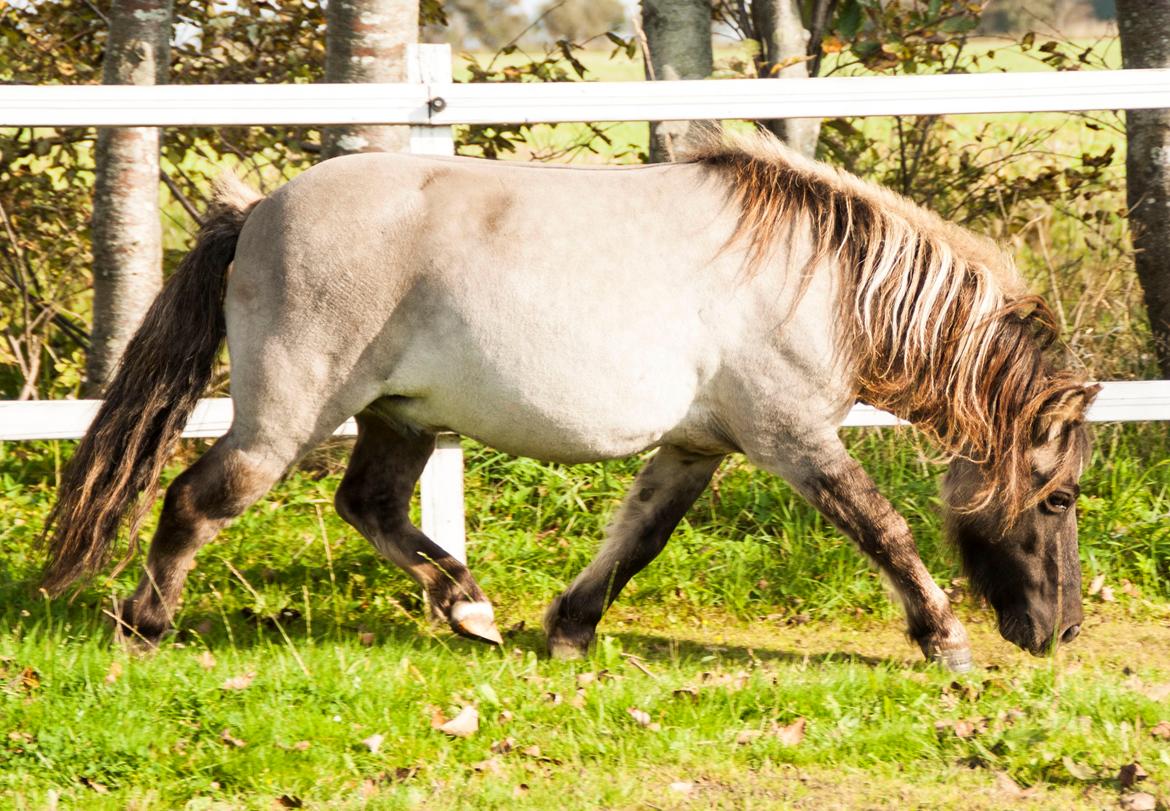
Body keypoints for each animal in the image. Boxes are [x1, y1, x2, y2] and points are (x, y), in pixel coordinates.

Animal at [42, 130, 1098, 672]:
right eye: (1057, 498)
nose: (1059, 632)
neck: (821, 279)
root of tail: (257, 210)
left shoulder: (698, 445)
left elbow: (638, 537)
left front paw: (568, 627)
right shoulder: (790, 436)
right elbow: (882, 526)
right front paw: (946, 640)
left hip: (401, 417)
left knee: (369, 506)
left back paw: (471, 609)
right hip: (289, 415)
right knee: (199, 499)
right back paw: (145, 625)